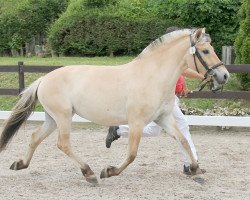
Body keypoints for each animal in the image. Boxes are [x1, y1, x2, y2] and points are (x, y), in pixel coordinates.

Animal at [0, 28, 229, 184]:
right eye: (205, 51)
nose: (224, 75)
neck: (153, 76)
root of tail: (43, 79)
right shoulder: (137, 122)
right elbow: (132, 154)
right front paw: (109, 171)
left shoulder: (163, 118)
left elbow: (183, 140)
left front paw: (195, 168)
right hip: (63, 117)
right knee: (63, 144)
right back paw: (89, 173)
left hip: (53, 118)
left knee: (35, 137)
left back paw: (20, 164)